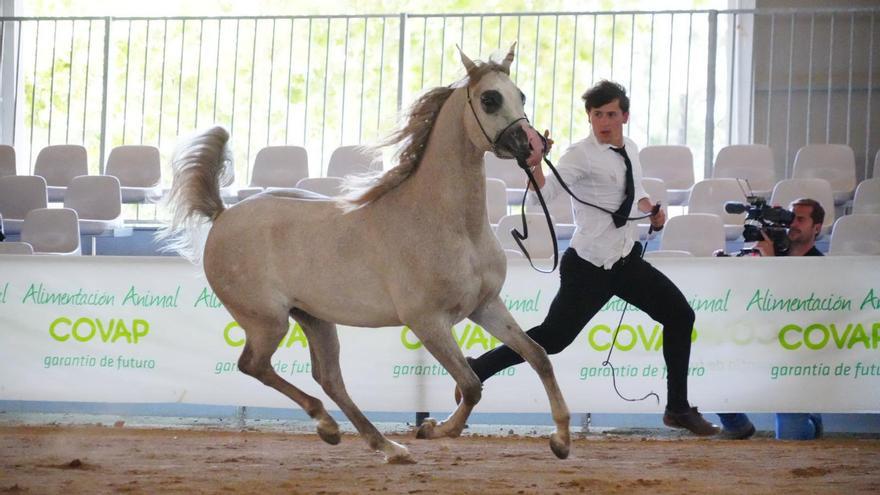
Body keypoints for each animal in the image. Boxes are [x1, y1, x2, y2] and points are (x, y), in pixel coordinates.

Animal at [160, 44, 572, 464]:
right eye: (490, 99)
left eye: (521, 95)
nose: (534, 145)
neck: (448, 223)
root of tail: (222, 214)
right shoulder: (428, 322)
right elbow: (471, 385)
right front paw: (433, 428)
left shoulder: (485, 306)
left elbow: (537, 355)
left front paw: (561, 440)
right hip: (267, 321)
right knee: (255, 365)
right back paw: (331, 427)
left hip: (314, 319)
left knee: (328, 378)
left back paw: (381, 444)